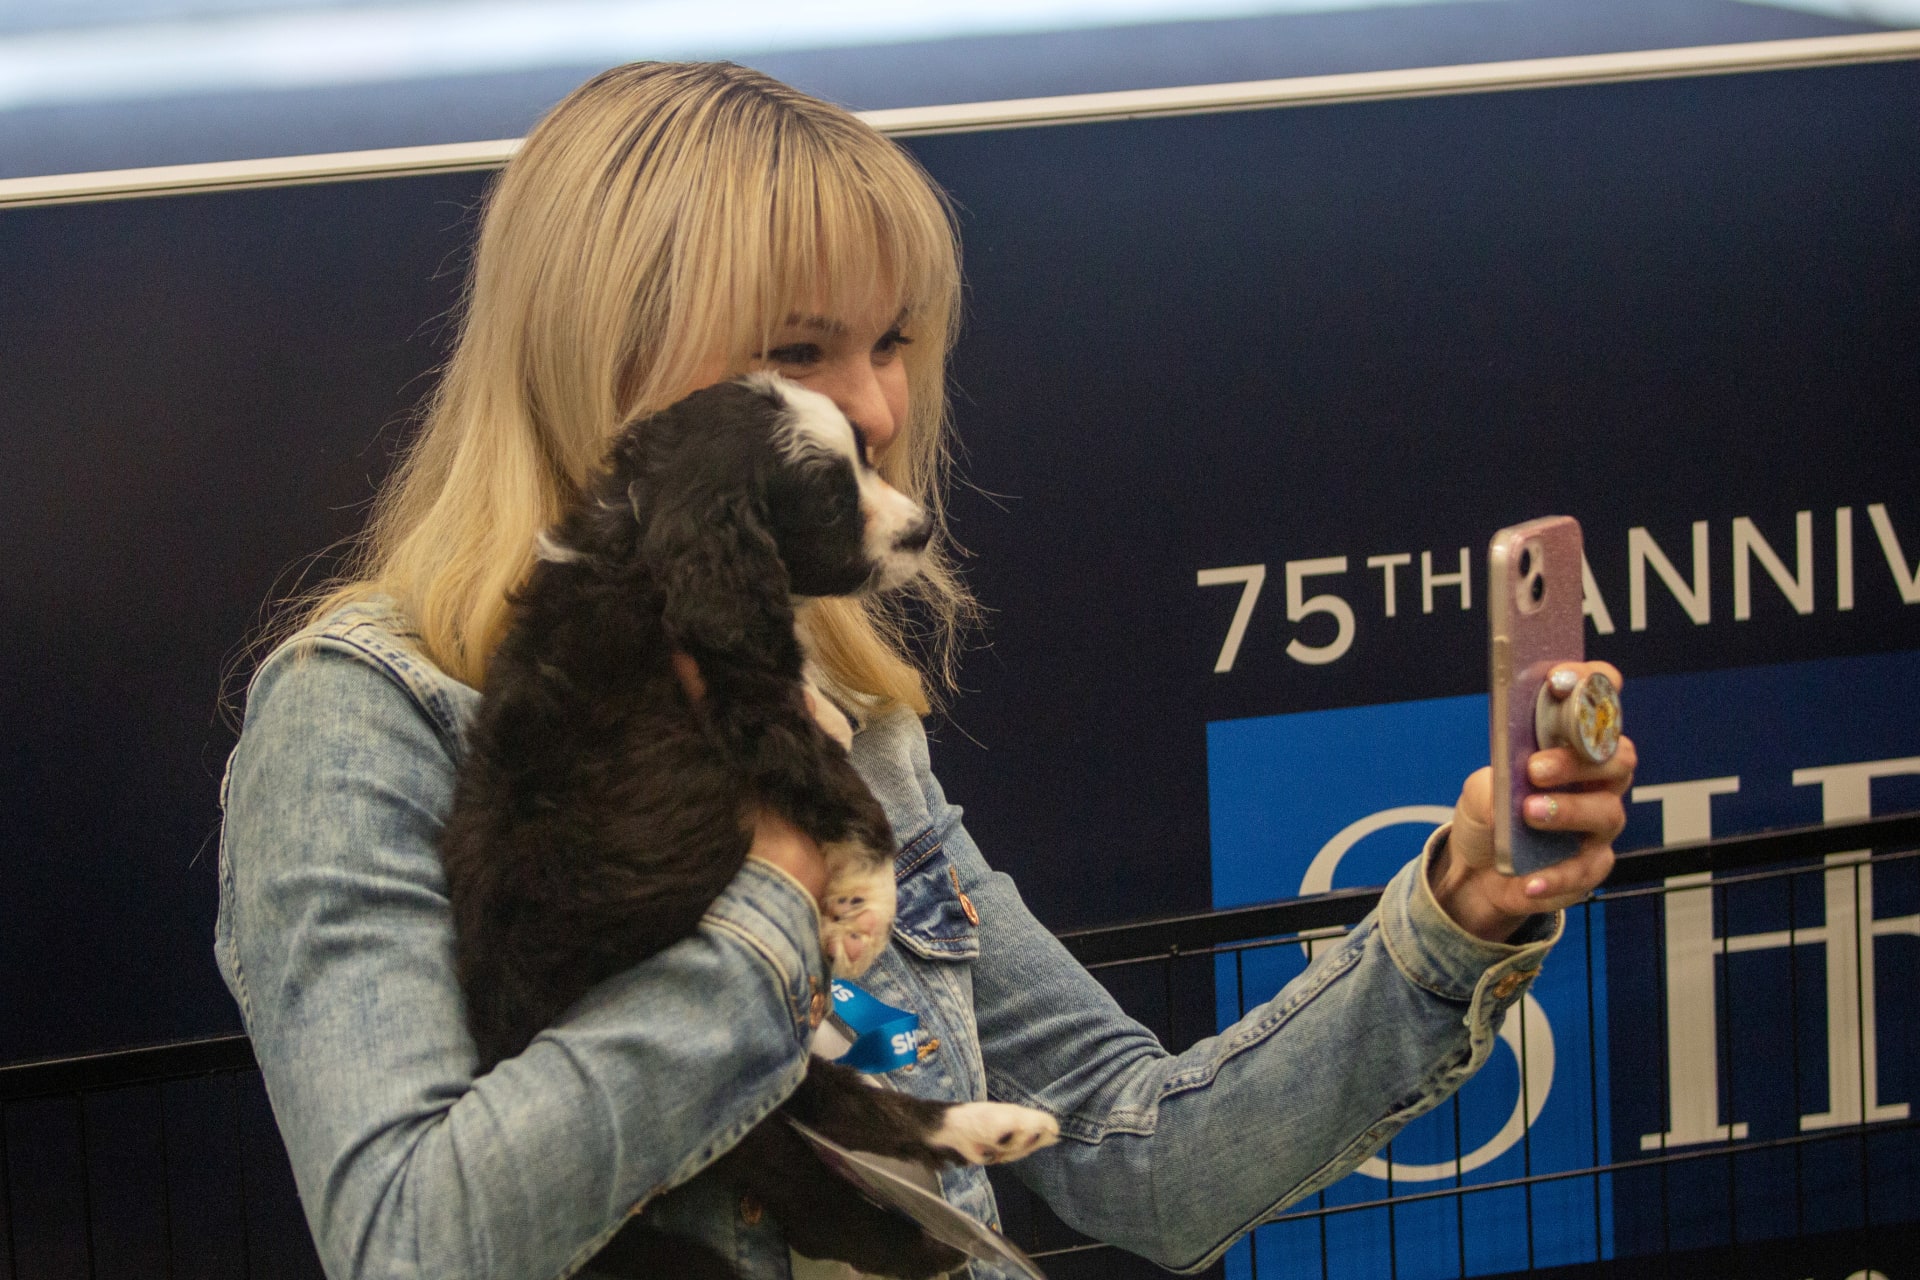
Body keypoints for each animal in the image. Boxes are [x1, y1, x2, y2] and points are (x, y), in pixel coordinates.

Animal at [439, 372, 1059, 1280]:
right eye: (832, 501)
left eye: (866, 457)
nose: (919, 530)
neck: (645, 529)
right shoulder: (746, 701)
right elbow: (848, 790)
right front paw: (864, 912)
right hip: (724, 1103)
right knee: (827, 1162)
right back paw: (952, 1190)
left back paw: (980, 1151)